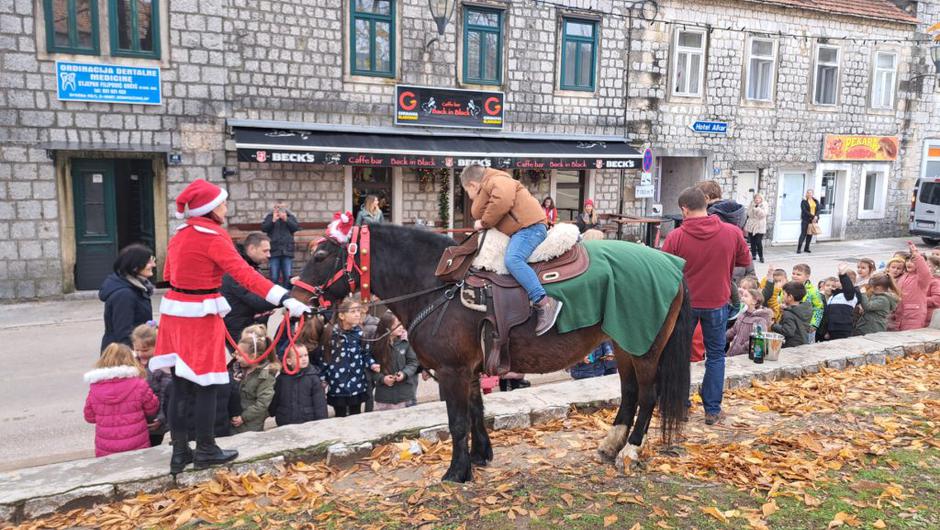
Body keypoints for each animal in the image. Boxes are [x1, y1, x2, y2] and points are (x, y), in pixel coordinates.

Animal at [294, 223, 692, 482]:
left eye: (320, 255)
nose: (296, 301)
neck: (438, 284)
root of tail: (671, 262)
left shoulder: (452, 371)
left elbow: (457, 421)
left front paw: (457, 471)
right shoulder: (468, 370)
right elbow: (475, 412)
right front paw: (480, 455)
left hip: (645, 349)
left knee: (648, 396)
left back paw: (631, 450)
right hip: (624, 342)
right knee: (629, 392)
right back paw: (612, 444)